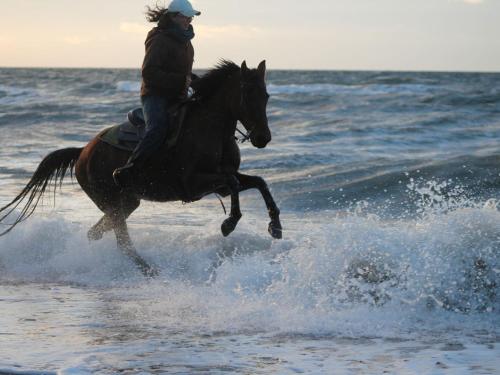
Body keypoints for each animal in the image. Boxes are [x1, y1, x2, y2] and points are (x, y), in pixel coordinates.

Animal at [0, 61, 282, 276]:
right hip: (112, 201)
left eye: (266, 96)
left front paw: (275, 226)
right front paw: (229, 223)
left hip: (126, 202)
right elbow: (235, 184)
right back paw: (149, 270)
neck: (211, 131)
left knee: (97, 233)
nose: (263, 138)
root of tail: (82, 152)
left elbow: (259, 182)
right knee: (121, 241)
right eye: (248, 95)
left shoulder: (220, 182)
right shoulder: (194, 184)